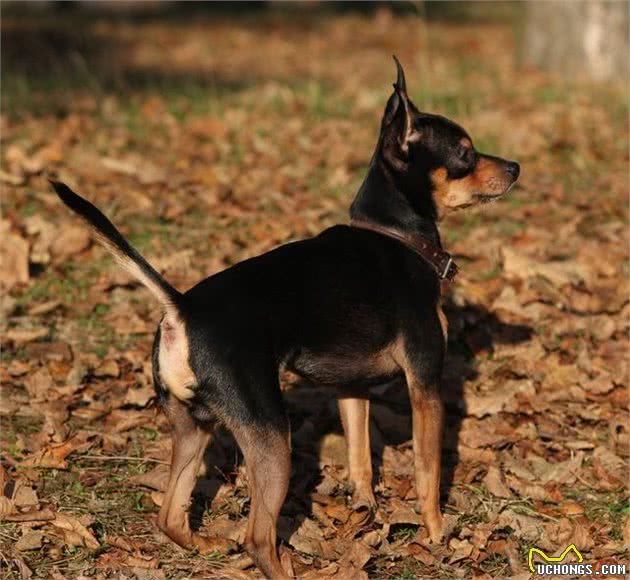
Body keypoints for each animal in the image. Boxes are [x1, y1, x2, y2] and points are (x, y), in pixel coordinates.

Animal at [53, 60, 520, 580]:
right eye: (465, 151)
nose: (516, 167)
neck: (396, 236)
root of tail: (181, 308)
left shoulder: (351, 389)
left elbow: (360, 459)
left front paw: (365, 512)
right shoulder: (425, 384)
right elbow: (428, 471)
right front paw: (437, 533)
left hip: (194, 427)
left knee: (170, 515)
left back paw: (205, 545)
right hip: (272, 436)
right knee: (257, 538)